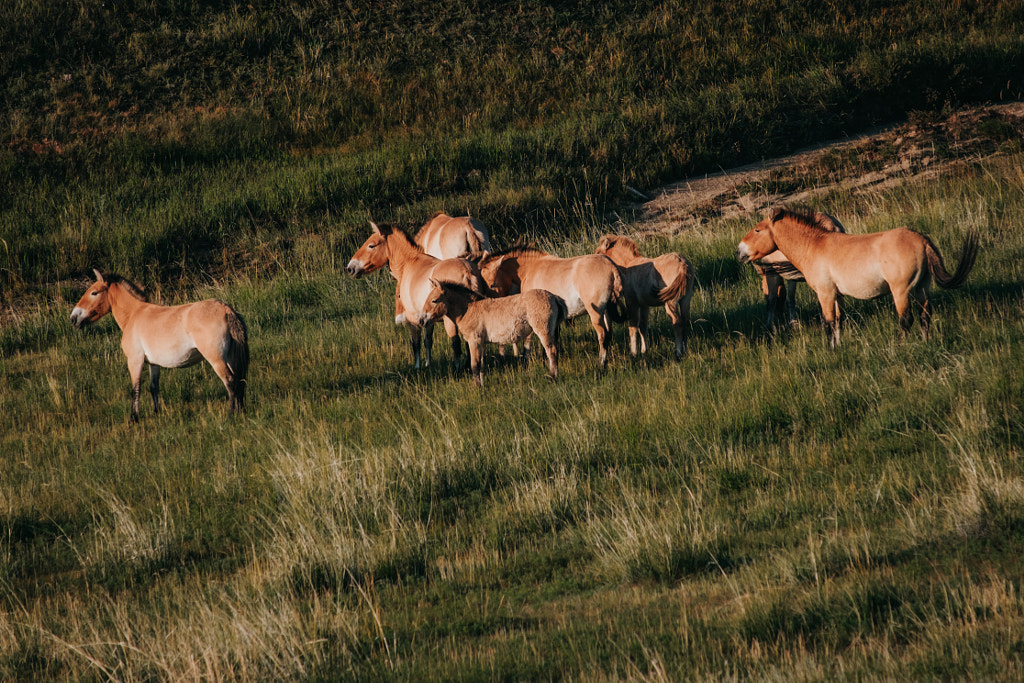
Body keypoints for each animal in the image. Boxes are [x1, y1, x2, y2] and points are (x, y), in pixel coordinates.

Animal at [70, 270, 249, 423]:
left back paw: (231, 413)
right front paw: (156, 413)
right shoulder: (153, 364)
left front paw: (133, 419)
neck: (133, 314)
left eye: (94, 292)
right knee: (239, 380)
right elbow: (153, 387)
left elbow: (135, 389)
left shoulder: (135, 360)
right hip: (230, 358)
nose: (73, 318)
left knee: (229, 381)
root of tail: (226, 309)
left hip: (216, 359)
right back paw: (241, 411)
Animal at [346, 222, 489, 368]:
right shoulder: (427, 318)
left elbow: (416, 344)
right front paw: (428, 364)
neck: (410, 262)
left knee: (456, 343)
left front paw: (417, 367)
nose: (350, 268)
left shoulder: (413, 318)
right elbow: (428, 341)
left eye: (371, 245)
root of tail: (467, 271)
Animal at [419, 279, 567, 386]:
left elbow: (474, 365)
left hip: (543, 330)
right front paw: (482, 385)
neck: (468, 309)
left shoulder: (474, 341)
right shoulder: (481, 343)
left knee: (551, 351)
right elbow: (481, 365)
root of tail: (554, 297)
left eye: (434, 300)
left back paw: (552, 377)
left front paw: (477, 388)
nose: (421, 321)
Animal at [476, 246, 624, 366]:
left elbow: (530, 338)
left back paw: (601, 363)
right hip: (605, 312)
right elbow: (553, 337)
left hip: (595, 313)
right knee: (608, 334)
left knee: (602, 335)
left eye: (491, 285)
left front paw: (528, 359)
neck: (530, 268)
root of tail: (610, 266)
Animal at [736, 207, 979, 347]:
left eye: (757, 230)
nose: (739, 251)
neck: (814, 245)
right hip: (922, 287)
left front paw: (830, 350)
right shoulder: (837, 294)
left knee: (906, 319)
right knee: (925, 315)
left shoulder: (825, 293)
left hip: (901, 291)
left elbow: (828, 322)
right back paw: (925, 342)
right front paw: (838, 346)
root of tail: (922, 240)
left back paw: (902, 347)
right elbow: (839, 320)